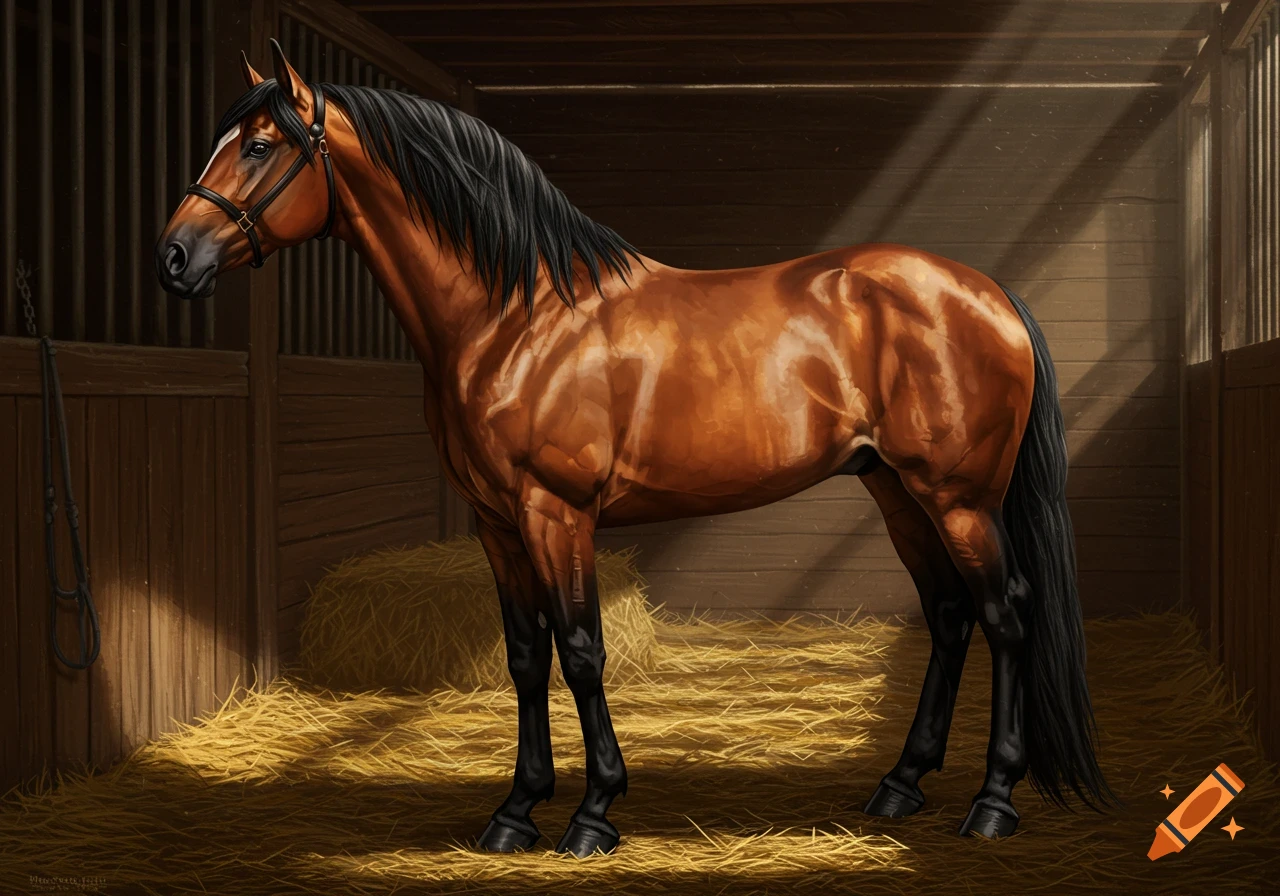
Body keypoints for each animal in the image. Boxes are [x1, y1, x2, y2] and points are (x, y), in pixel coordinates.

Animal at [156, 40, 1112, 857]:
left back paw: (992, 805)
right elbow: (524, 657)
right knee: (949, 617)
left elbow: (581, 652)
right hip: (896, 492)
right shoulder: (496, 524)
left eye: (259, 145)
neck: (518, 317)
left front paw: (593, 814)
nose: (174, 257)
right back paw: (900, 786)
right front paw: (514, 812)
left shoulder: (557, 513)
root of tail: (987, 293)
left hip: (959, 500)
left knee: (1005, 616)